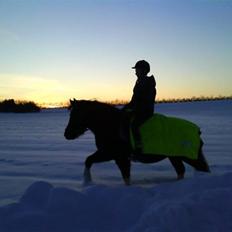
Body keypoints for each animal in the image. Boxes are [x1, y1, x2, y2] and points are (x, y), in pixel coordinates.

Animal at [64, 99, 210, 185]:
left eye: (75, 114)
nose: (66, 134)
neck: (110, 125)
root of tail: (197, 130)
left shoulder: (115, 156)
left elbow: (125, 176)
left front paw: (87, 181)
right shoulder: (112, 155)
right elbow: (89, 160)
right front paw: (87, 183)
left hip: (188, 157)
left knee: (200, 169)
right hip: (175, 157)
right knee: (181, 171)